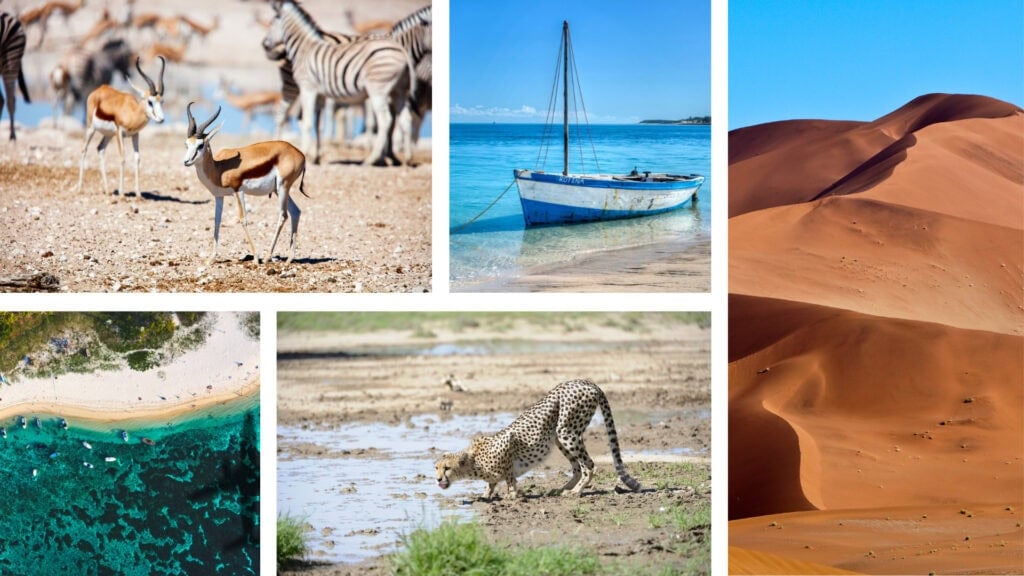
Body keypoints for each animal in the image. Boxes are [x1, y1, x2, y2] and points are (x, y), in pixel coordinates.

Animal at [74, 55, 165, 195]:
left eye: (162, 101)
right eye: (150, 102)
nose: (161, 119)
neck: (131, 112)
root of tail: (98, 91)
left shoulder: (135, 135)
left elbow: (137, 159)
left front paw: (138, 194)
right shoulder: (119, 133)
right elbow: (122, 158)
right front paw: (122, 193)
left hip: (108, 135)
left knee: (100, 149)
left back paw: (107, 189)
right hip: (91, 128)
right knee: (84, 149)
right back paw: (80, 188)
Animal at [182, 102, 305, 264]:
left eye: (200, 145)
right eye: (186, 144)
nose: (186, 161)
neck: (219, 168)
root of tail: (300, 154)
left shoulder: (238, 190)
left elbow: (243, 219)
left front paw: (256, 258)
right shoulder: (219, 196)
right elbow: (216, 221)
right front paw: (211, 258)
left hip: (283, 187)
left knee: (283, 215)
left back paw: (267, 257)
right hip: (279, 190)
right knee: (295, 211)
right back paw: (290, 258)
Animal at [264, 0, 415, 166]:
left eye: (271, 22)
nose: (264, 44)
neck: (305, 47)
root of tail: (402, 51)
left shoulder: (308, 88)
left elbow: (308, 122)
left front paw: (306, 153)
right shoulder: (320, 94)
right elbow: (318, 124)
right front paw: (316, 157)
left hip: (378, 90)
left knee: (385, 120)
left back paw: (372, 158)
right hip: (399, 90)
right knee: (406, 119)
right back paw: (407, 159)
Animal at [432, 377, 638, 498]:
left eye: (447, 468)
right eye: (436, 468)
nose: (438, 479)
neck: (473, 462)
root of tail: (586, 382)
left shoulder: (507, 444)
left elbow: (509, 476)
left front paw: (512, 495)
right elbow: (491, 484)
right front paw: (485, 496)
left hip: (566, 431)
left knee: (589, 465)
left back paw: (575, 491)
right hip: (559, 436)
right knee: (577, 468)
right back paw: (561, 489)